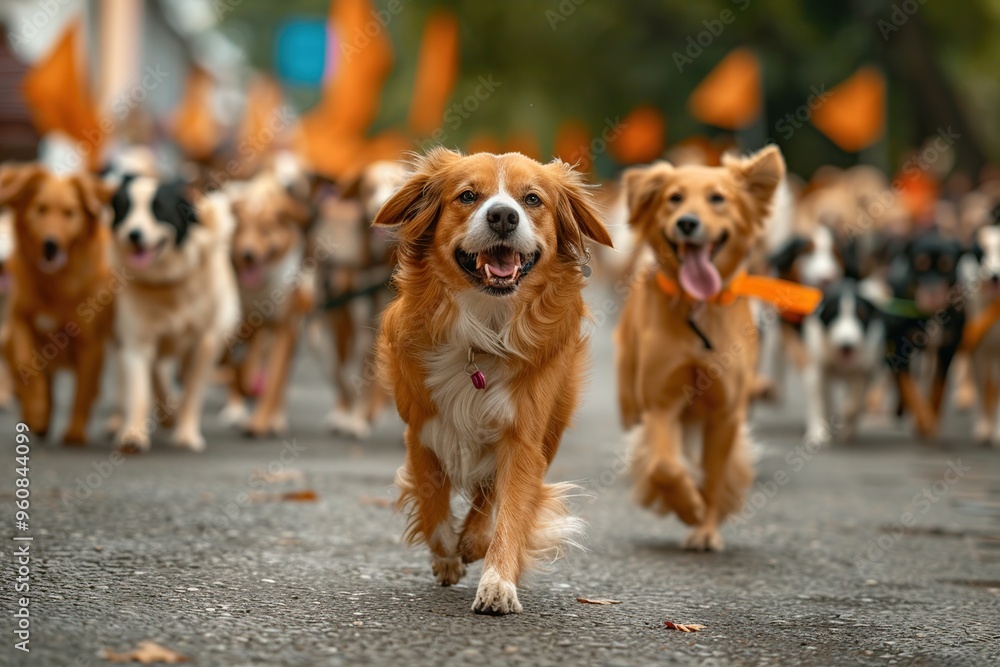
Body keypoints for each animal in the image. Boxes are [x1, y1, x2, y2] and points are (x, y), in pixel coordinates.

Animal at [0, 162, 114, 444]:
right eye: (40, 209)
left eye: (69, 213)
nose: (50, 245)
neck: (55, 285)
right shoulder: (19, 322)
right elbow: (26, 366)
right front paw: (37, 412)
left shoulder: (90, 342)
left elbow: (83, 392)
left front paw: (75, 433)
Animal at [110, 176, 240, 454]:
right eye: (125, 209)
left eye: (158, 209)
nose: (133, 235)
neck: (168, 284)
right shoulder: (137, 342)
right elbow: (139, 392)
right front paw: (133, 434)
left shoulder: (205, 342)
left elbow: (192, 392)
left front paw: (187, 435)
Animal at [374, 147, 608, 616]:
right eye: (468, 195)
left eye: (532, 199)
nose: (503, 215)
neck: (484, 326)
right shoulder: (422, 429)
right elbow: (432, 503)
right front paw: (446, 555)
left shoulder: (523, 438)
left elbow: (512, 511)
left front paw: (497, 581)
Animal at [616, 146, 788, 552]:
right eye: (674, 198)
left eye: (718, 199)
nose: (687, 223)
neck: (696, 306)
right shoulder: (661, 402)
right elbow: (664, 465)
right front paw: (686, 506)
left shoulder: (726, 412)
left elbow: (714, 475)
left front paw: (705, 528)